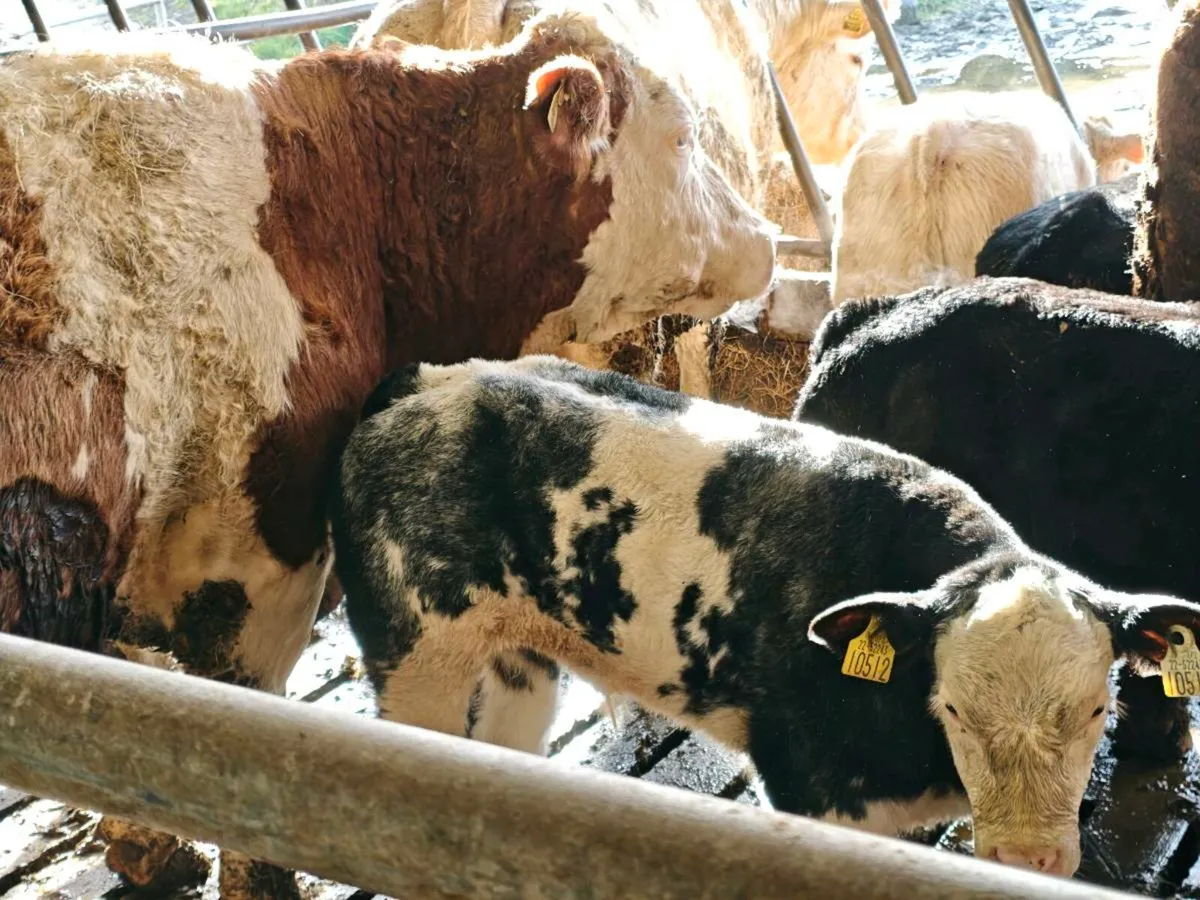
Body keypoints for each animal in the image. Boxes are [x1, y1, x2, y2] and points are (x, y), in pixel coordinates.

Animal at [330, 353, 1200, 878]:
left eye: (1098, 710)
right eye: (952, 706)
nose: (1026, 860)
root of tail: (432, 381)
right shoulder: (805, 788)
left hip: (518, 666)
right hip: (413, 657)